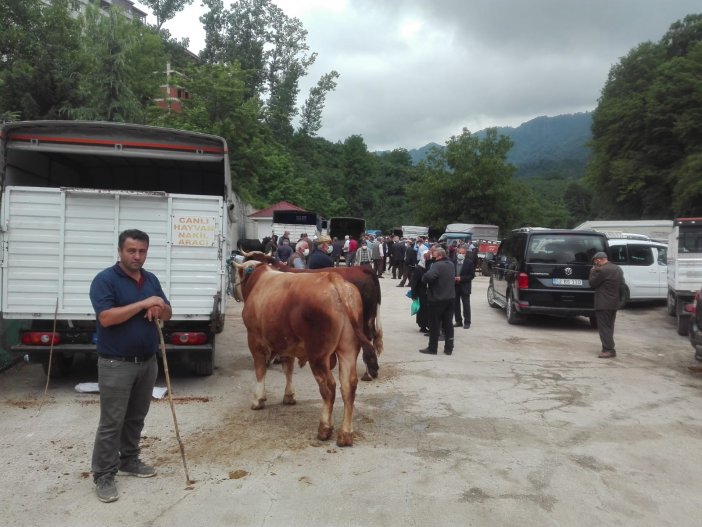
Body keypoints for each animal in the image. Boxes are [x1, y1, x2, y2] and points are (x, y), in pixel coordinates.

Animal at [234, 260, 376, 446]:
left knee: (328, 388)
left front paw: (258, 399)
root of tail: (333, 279)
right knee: (348, 386)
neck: (257, 281)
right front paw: (289, 396)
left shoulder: (254, 340)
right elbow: (288, 368)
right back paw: (345, 434)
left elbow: (260, 370)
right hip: (348, 349)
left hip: (318, 355)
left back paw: (324, 429)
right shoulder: (286, 344)